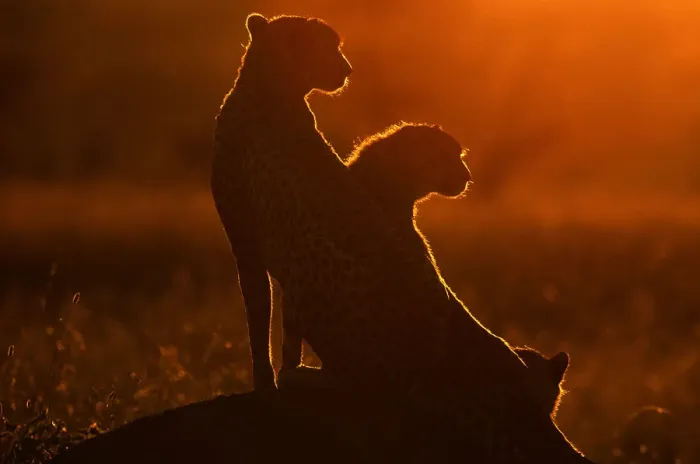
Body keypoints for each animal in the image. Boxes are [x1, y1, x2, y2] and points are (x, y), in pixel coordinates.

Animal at [211, 12, 593, 462]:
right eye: (328, 47)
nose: (347, 70)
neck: (268, 87)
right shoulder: (252, 248)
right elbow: (267, 318)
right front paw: (267, 378)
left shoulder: (252, 248)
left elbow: (261, 313)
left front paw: (267, 381)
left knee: (364, 387)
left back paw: (304, 378)